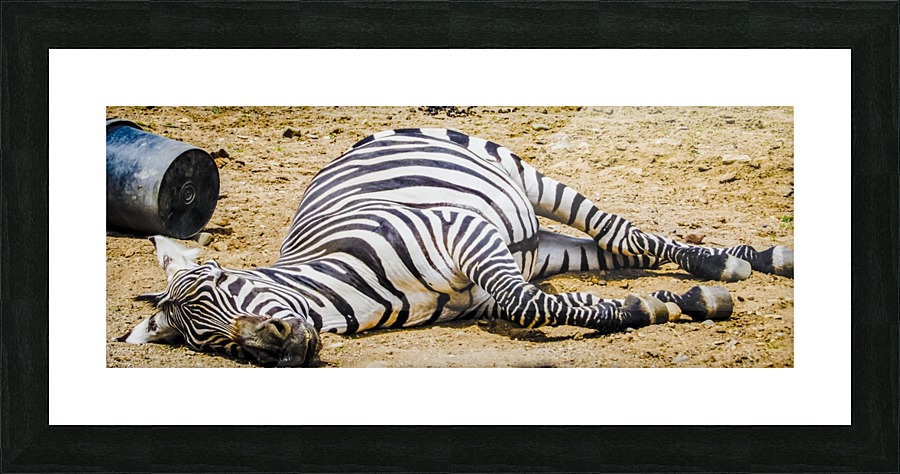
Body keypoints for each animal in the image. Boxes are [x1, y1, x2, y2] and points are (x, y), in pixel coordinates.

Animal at [118, 127, 793, 367]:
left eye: (225, 285)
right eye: (209, 344)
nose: (279, 349)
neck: (356, 296)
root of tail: (363, 138)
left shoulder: (459, 231)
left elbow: (532, 305)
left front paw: (650, 307)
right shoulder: (485, 286)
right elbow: (549, 302)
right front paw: (651, 306)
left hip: (521, 180)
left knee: (619, 231)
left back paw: (731, 264)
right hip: (538, 249)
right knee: (616, 253)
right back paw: (736, 264)